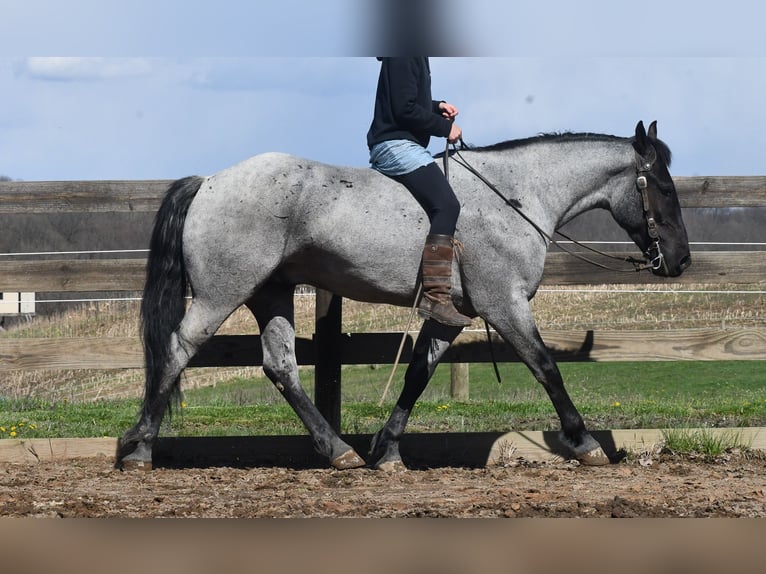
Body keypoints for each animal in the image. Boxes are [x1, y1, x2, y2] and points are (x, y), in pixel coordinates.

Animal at [117, 120, 691, 471]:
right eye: (663, 188)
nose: (680, 261)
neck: (515, 196)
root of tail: (210, 181)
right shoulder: (504, 304)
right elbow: (546, 367)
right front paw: (586, 443)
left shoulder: (451, 314)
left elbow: (418, 374)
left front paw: (387, 449)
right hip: (223, 293)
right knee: (177, 350)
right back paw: (138, 447)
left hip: (271, 294)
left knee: (280, 366)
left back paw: (339, 451)